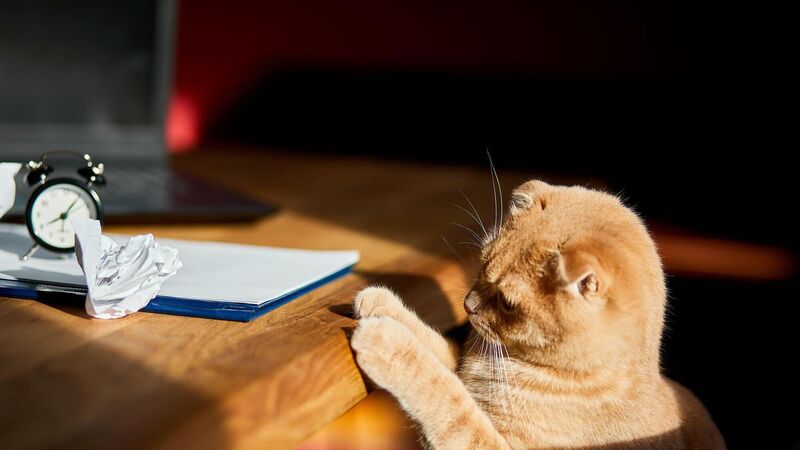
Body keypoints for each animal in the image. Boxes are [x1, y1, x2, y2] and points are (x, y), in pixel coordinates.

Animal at [350, 180, 725, 449]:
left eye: (507, 302)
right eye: (482, 265)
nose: (468, 305)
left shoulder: (490, 442)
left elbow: (446, 397)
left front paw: (386, 343)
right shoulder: (464, 358)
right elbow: (433, 346)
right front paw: (380, 303)